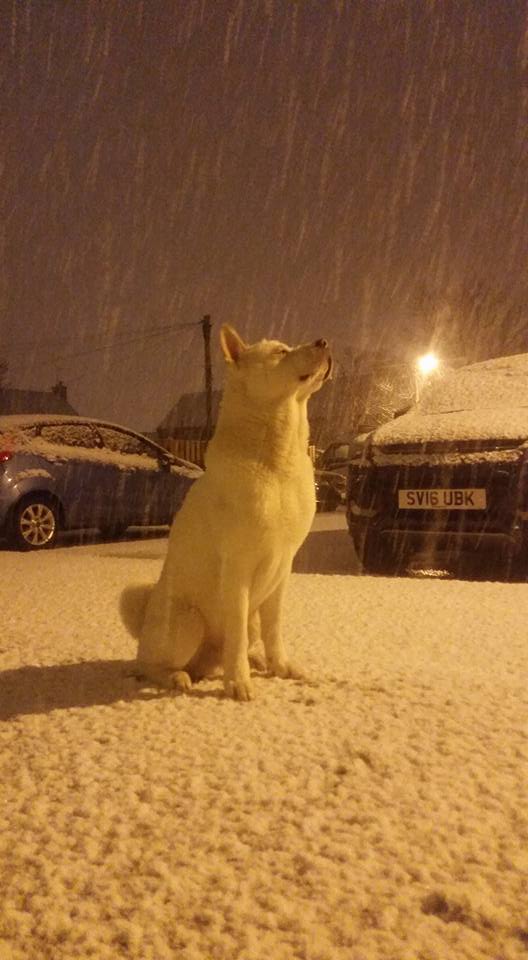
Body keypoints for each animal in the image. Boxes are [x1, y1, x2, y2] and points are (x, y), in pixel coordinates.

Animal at [121, 326, 332, 700]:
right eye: (280, 351)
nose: (324, 342)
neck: (276, 463)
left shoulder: (282, 570)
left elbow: (274, 628)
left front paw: (280, 667)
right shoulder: (237, 569)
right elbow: (235, 634)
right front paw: (238, 683)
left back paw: (254, 661)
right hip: (187, 622)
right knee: (148, 664)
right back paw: (177, 677)